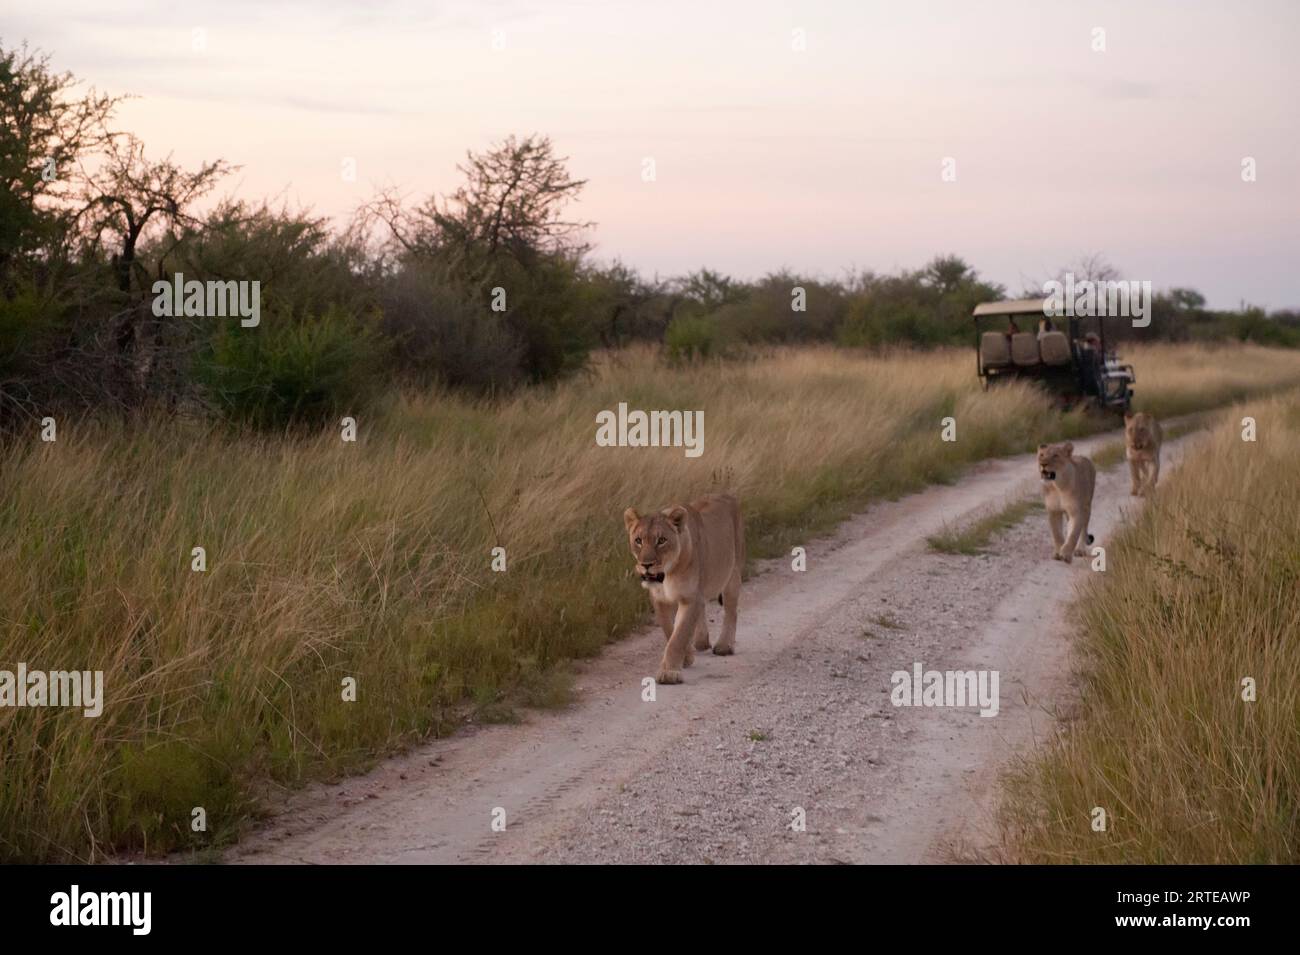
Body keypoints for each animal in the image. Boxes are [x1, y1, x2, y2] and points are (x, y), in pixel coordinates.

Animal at [623, 493, 743, 685]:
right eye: (638, 541)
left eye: (661, 540)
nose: (646, 565)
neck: (668, 574)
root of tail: (727, 495)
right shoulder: (660, 599)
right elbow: (669, 630)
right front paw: (686, 658)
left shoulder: (690, 598)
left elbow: (678, 636)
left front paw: (669, 673)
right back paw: (701, 641)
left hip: (733, 573)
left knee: (731, 611)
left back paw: (724, 646)